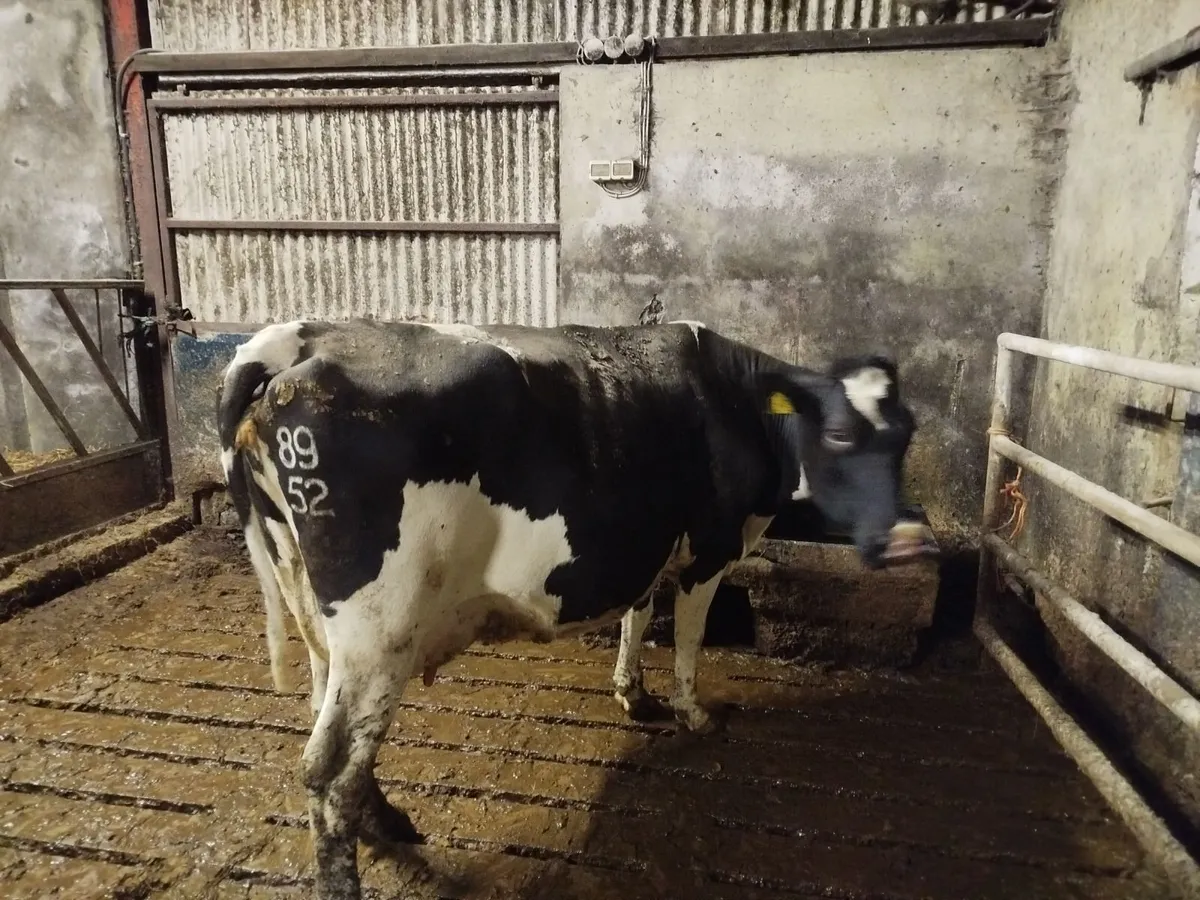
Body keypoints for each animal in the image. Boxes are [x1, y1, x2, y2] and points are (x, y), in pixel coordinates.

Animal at [217, 318, 928, 900]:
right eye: (839, 434)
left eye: (906, 437)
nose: (907, 541)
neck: (738, 401)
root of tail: (302, 342)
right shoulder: (711, 547)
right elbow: (690, 636)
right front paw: (694, 713)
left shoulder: (645, 545)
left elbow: (638, 615)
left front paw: (634, 695)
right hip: (380, 627)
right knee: (329, 768)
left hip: (316, 610)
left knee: (328, 728)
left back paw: (386, 821)